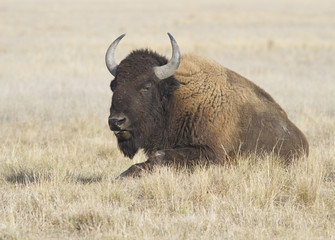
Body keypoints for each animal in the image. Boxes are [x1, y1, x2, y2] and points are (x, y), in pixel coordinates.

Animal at [107, 32, 310, 178]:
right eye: (113, 85)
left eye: (147, 86)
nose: (116, 121)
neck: (174, 99)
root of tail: (302, 141)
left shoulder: (212, 153)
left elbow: (160, 156)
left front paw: (123, 176)